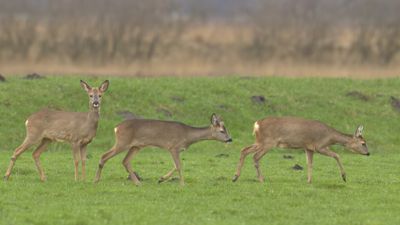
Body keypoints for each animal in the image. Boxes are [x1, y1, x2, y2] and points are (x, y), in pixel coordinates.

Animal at [94, 113, 231, 185]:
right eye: (222, 131)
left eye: (226, 129)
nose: (230, 139)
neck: (187, 135)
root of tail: (116, 128)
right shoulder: (173, 147)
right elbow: (179, 166)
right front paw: (182, 184)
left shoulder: (175, 149)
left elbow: (176, 166)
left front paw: (161, 179)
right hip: (123, 142)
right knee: (104, 156)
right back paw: (96, 180)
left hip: (136, 146)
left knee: (125, 161)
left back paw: (138, 182)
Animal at [233, 117, 370, 184]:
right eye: (363, 143)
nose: (368, 153)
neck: (330, 137)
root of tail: (257, 124)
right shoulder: (319, 146)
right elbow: (337, 155)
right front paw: (344, 177)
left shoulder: (308, 148)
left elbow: (309, 164)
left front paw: (309, 181)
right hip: (268, 142)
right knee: (255, 156)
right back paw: (261, 179)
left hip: (259, 141)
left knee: (244, 150)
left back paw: (235, 177)